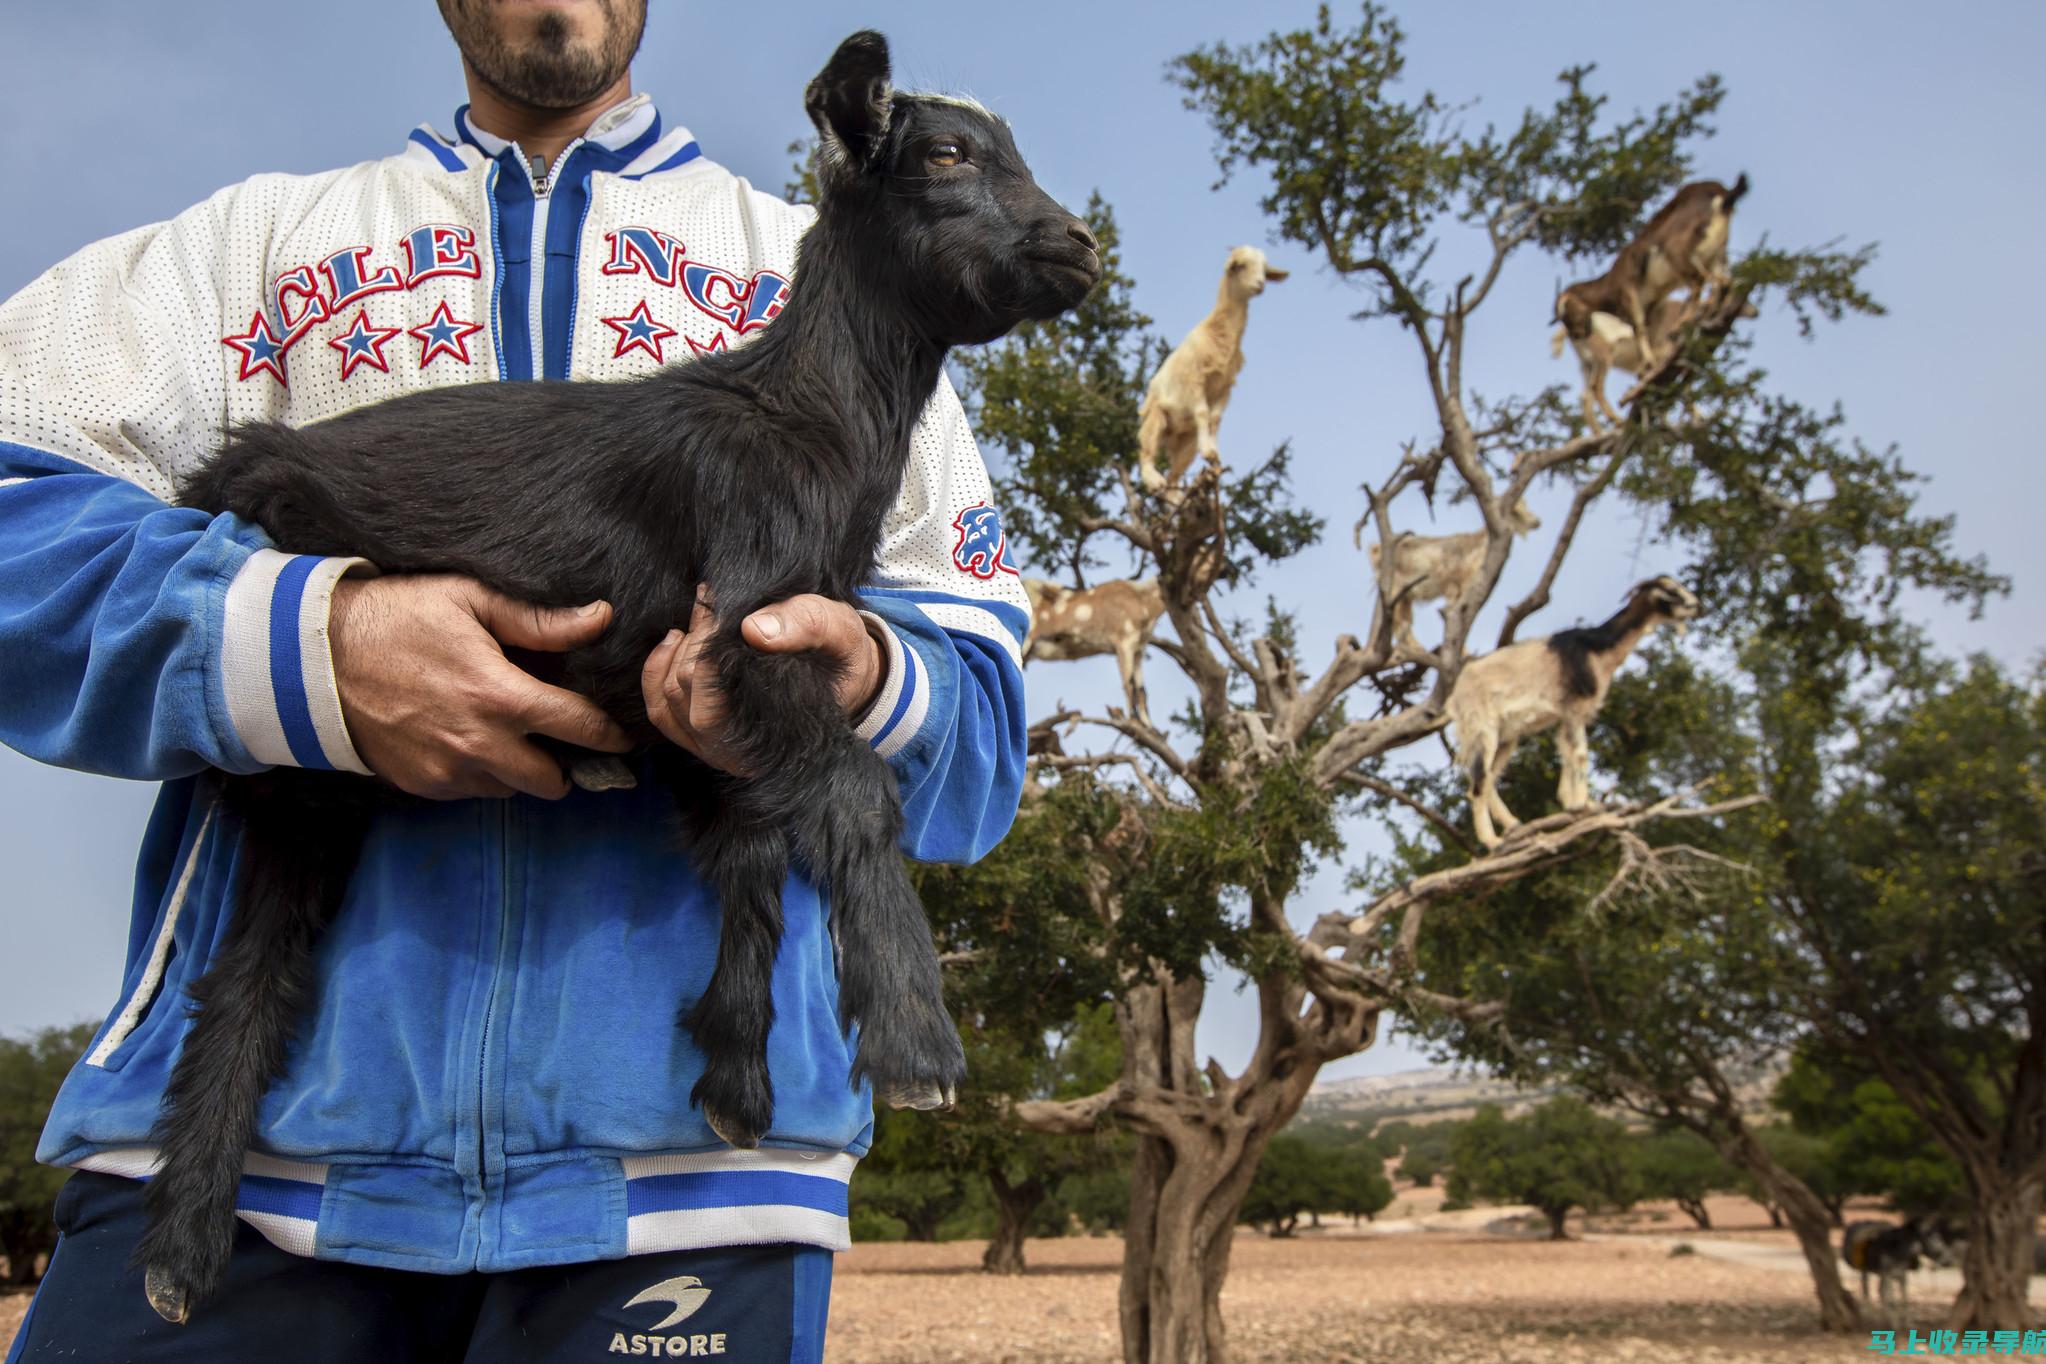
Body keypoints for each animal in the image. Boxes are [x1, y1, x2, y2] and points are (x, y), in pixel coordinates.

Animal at [1023, 576, 1170, 723]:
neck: (1141, 598)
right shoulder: (1124, 644)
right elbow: (1129, 686)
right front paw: (1133, 720)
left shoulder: (1139, 650)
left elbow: (1141, 692)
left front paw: (1147, 724)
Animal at [1129, 245, 1284, 490]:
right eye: (1240, 266)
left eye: (1264, 268)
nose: (1259, 284)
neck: (1217, 334)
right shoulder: (1195, 380)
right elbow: (1202, 412)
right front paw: (1209, 450)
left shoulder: (1226, 387)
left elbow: (1215, 419)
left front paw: (1213, 453)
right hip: (1155, 419)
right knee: (1146, 454)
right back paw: (1154, 480)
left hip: (1187, 441)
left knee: (1174, 476)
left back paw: (1176, 494)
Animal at [1448, 576, 1702, 854]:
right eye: (1670, 590)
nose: (1696, 606)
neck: (1596, 648)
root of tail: (1456, 695)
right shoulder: (1575, 708)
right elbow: (1580, 754)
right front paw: (1582, 806)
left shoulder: (1566, 715)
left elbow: (1567, 752)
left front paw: (1574, 803)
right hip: (1483, 727)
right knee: (1479, 781)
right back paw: (1493, 841)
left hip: (1506, 736)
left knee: (1489, 777)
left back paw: (1513, 825)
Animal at [1554, 177, 1751, 378]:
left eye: (1565, 310)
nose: (1576, 335)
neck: (1609, 284)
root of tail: (1722, 195)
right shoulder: (1652, 305)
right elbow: (1647, 333)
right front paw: (1648, 366)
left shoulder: (1629, 292)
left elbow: (1640, 329)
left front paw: (1650, 365)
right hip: (1717, 255)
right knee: (1723, 283)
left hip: (1682, 255)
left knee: (1701, 285)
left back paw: (1683, 327)